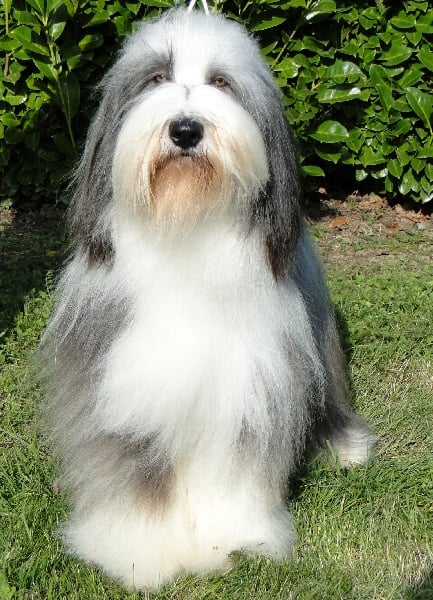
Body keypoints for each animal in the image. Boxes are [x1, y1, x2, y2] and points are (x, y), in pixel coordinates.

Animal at [41, 7, 375, 591]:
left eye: (221, 83)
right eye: (156, 78)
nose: (185, 129)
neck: (185, 229)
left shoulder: (247, 387)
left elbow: (234, 473)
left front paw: (230, 541)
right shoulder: (126, 389)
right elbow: (137, 479)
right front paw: (140, 553)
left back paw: (345, 447)